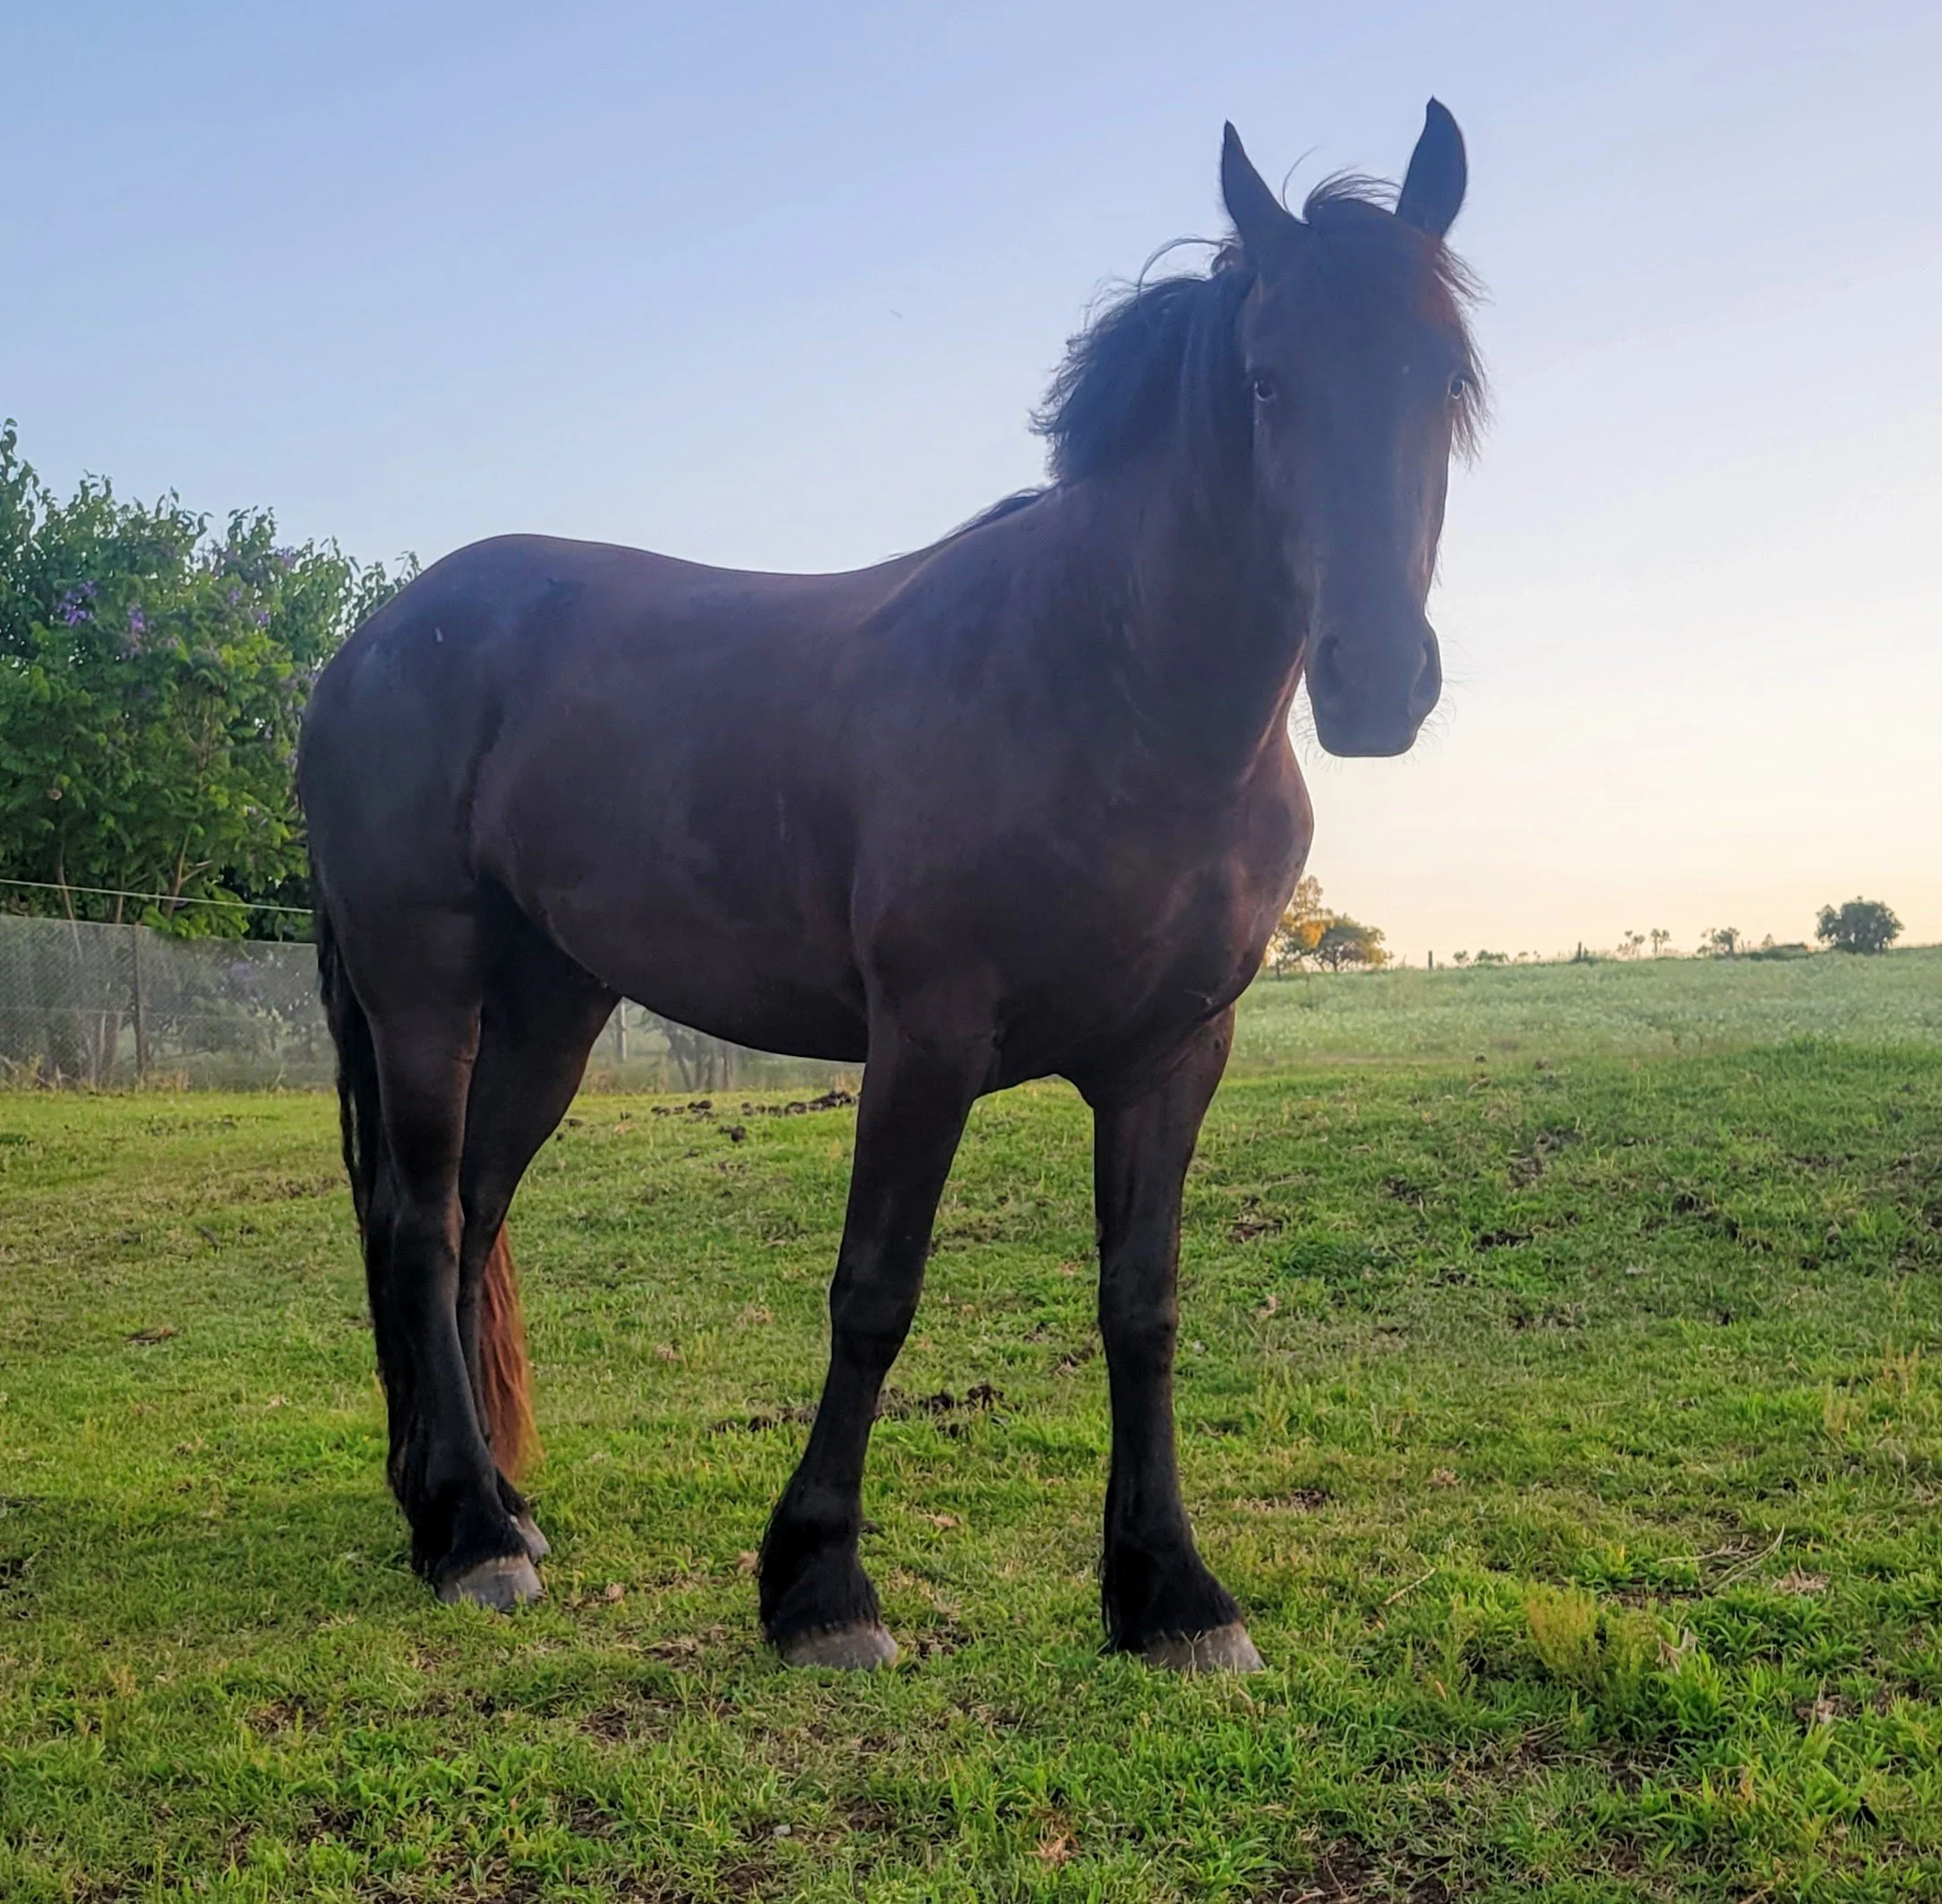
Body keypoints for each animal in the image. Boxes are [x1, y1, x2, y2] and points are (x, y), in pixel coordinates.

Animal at [298, 101, 1482, 1672]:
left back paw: (474, 1501)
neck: (1108, 687)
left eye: (1445, 381)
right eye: (1267, 380)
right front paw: (820, 1583)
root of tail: (371, 643)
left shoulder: (1174, 1056)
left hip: (552, 1006)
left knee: (475, 1213)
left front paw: (1171, 1589)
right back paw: (473, 1535)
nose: (1374, 681)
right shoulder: (924, 1038)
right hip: (424, 987)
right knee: (422, 1223)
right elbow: (874, 1290)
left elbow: (1143, 1304)